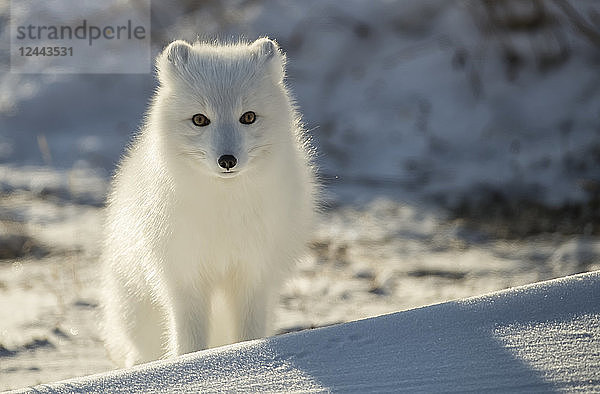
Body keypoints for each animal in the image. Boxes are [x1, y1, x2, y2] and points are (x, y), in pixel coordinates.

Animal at [101, 38, 316, 368]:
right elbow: (189, 342)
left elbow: (247, 334)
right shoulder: (184, 276)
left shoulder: (253, 273)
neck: (224, 210)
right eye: (200, 119)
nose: (227, 160)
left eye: (248, 117)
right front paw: (193, 365)